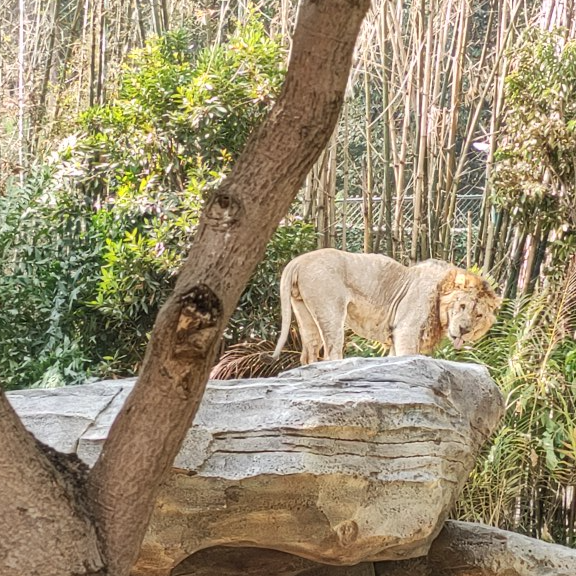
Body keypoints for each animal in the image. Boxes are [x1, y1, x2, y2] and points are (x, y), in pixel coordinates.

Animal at [270, 248, 500, 364]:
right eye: (461, 306)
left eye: (478, 315)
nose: (464, 329)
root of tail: (297, 261)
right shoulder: (406, 330)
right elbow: (408, 357)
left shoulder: (395, 337)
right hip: (330, 310)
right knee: (331, 352)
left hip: (304, 313)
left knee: (308, 354)